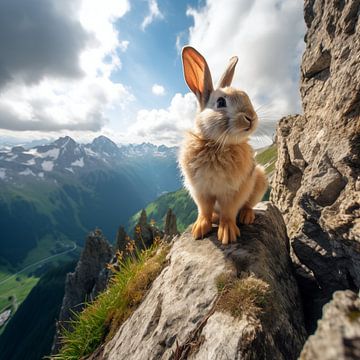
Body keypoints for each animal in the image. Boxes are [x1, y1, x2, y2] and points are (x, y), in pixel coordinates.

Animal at [179, 46, 268, 245]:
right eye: (220, 102)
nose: (251, 117)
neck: (217, 144)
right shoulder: (201, 191)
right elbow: (204, 210)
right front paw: (199, 229)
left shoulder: (233, 192)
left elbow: (228, 212)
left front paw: (227, 234)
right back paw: (214, 218)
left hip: (259, 181)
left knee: (248, 205)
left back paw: (246, 216)